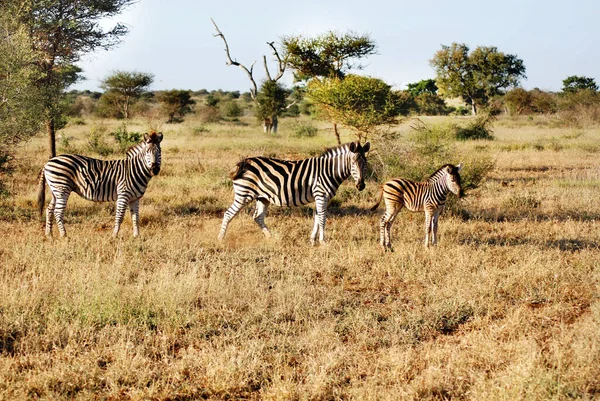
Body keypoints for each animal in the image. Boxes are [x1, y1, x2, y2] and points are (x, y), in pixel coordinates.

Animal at [219, 142, 370, 245]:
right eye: (353, 163)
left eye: (365, 164)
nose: (361, 185)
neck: (329, 171)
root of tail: (244, 161)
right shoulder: (321, 194)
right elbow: (322, 218)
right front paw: (323, 242)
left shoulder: (320, 197)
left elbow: (317, 217)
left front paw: (312, 240)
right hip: (244, 194)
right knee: (228, 214)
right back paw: (221, 238)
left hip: (262, 197)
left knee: (258, 217)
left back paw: (271, 238)